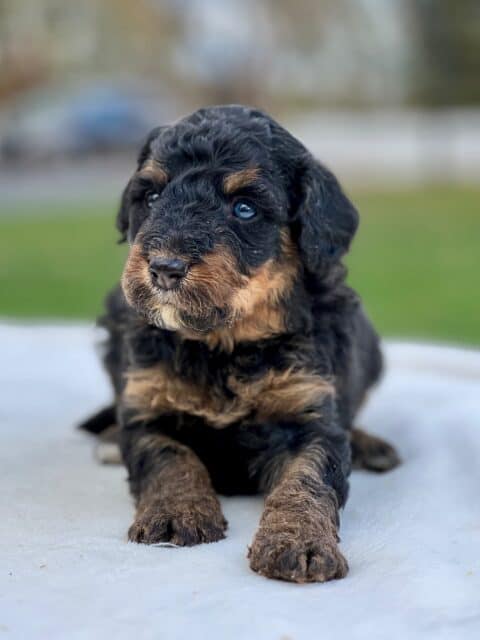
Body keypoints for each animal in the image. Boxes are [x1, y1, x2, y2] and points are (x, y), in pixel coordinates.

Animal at [80, 105, 400, 584]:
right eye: (151, 197)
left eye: (244, 208)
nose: (164, 268)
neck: (222, 346)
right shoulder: (150, 410)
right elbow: (170, 456)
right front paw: (175, 514)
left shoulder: (307, 413)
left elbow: (307, 479)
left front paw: (300, 543)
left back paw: (368, 445)